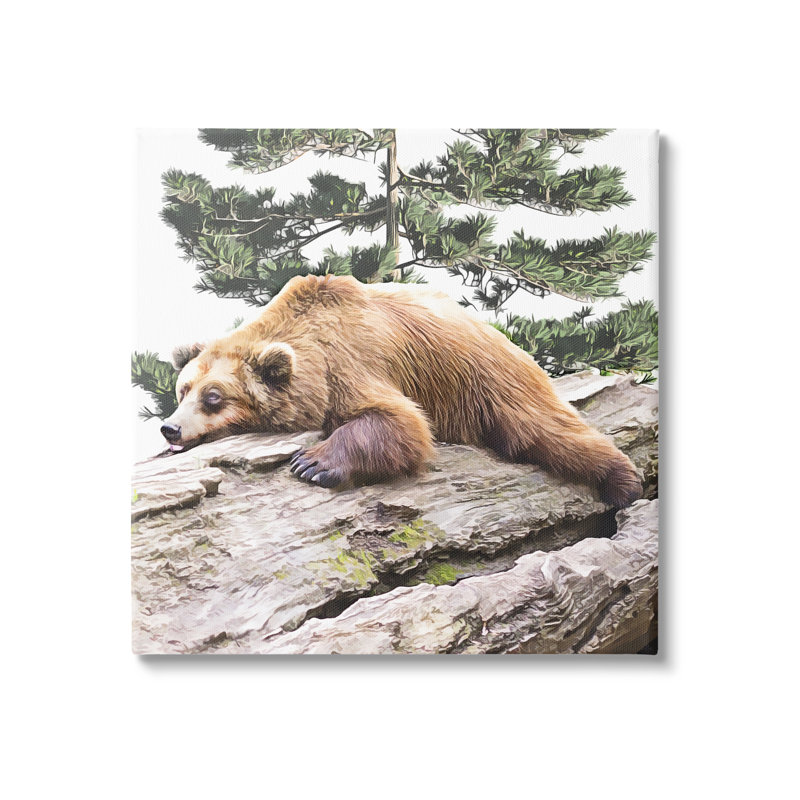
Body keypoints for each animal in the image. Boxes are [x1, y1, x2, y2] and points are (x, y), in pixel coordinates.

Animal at [160, 274, 642, 507]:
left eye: (214, 396)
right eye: (183, 389)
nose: (170, 428)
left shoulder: (353, 360)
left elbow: (400, 421)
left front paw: (313, 464)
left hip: (487, 376)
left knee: (544, 428)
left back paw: (624, 481)